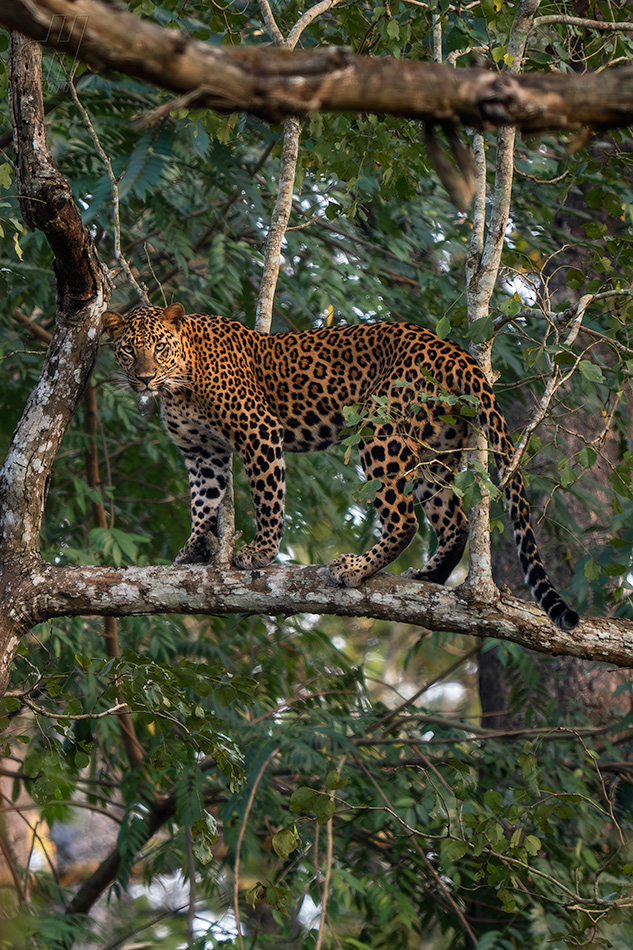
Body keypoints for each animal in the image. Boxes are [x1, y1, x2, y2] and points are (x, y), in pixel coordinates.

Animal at [102, 304, 576, 632]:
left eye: (159, 348)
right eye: (127, 350)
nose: (143, 379)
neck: (179, 384)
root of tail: (452, 350)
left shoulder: (259, 429)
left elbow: (268, 497)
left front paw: (260, 552)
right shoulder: (204, 453)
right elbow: (204, 502)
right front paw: (194, 548)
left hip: (380, 430)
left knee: (404, 520)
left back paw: (356, 568)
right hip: (435, 449)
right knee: (454, 520)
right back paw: (429, 575)